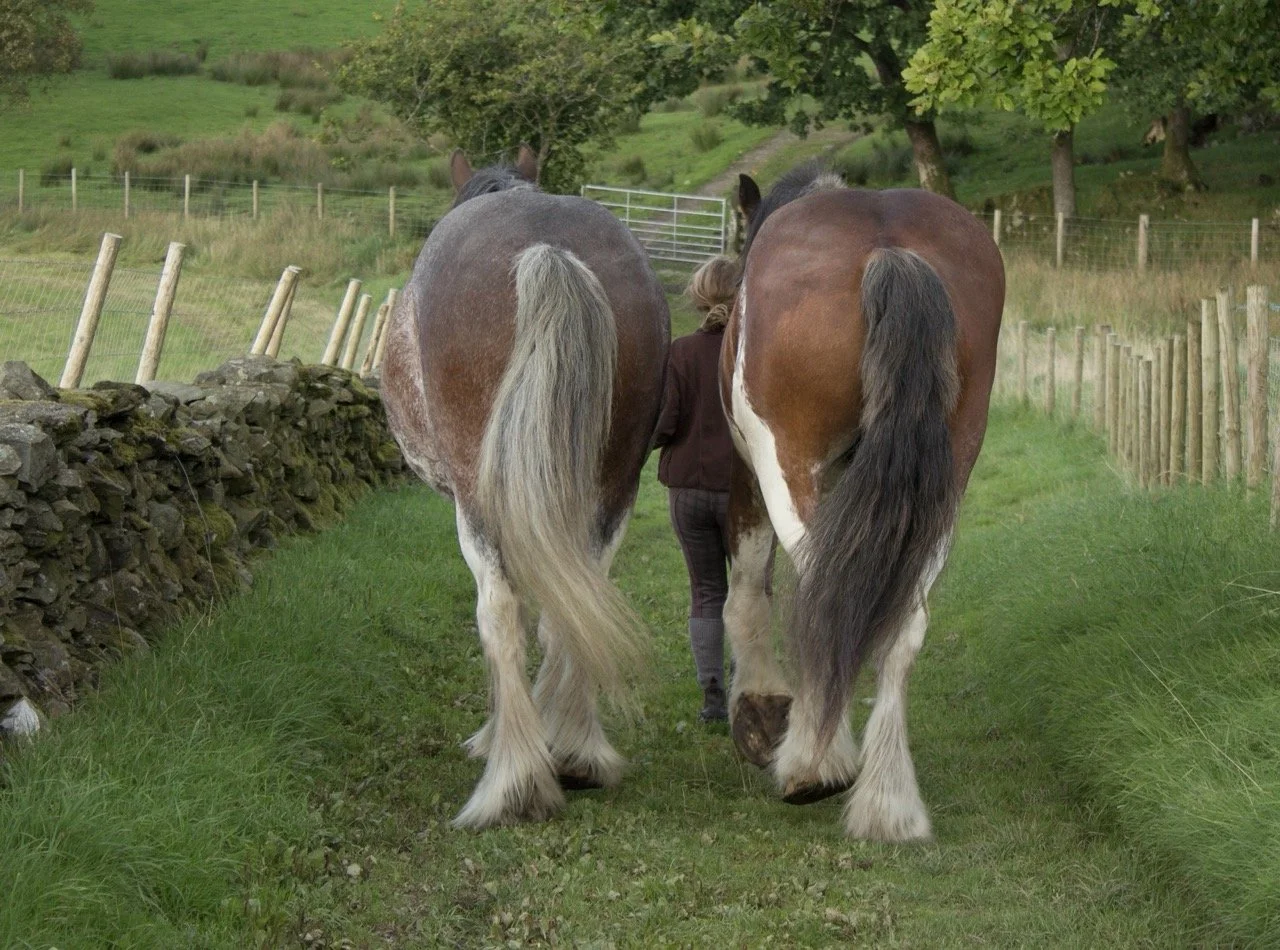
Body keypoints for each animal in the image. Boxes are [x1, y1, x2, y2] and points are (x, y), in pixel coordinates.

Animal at [379, 145, 670, 828]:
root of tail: (548, 249)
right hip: (613, 489)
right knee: (578, 603)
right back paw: (576, 752)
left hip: (478, 504)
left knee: (500, 614)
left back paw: (510, 781)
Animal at [717, 164, 1004, 841]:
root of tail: (887, 248)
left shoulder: (749, 474)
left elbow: (748, 590)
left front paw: (759, 714)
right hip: (941, 487)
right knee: (904, 621)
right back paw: (889, 801)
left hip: (788, 465)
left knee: (823, 595)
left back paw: (812, 766)